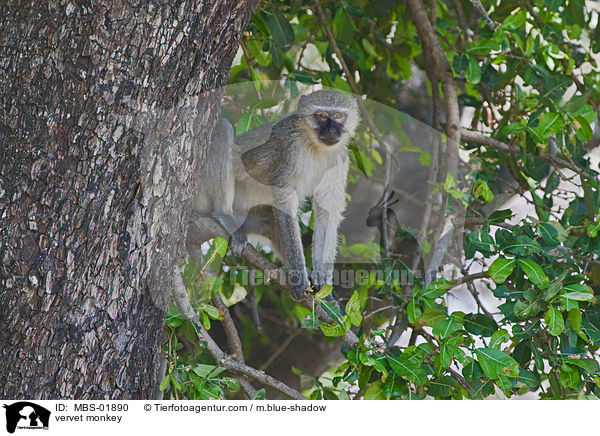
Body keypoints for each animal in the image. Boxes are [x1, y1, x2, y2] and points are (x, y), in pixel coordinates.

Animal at [189, 90, 356, 302]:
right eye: (322, 116)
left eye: (339, 116)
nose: (332, 131)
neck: (316, 146)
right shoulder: (291, 147)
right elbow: (284, 201)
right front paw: (298, 278)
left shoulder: (340, 158)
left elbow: (327, 212)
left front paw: (322, 284)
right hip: (200, 188)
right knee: (222, 129)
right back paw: (223, 215)